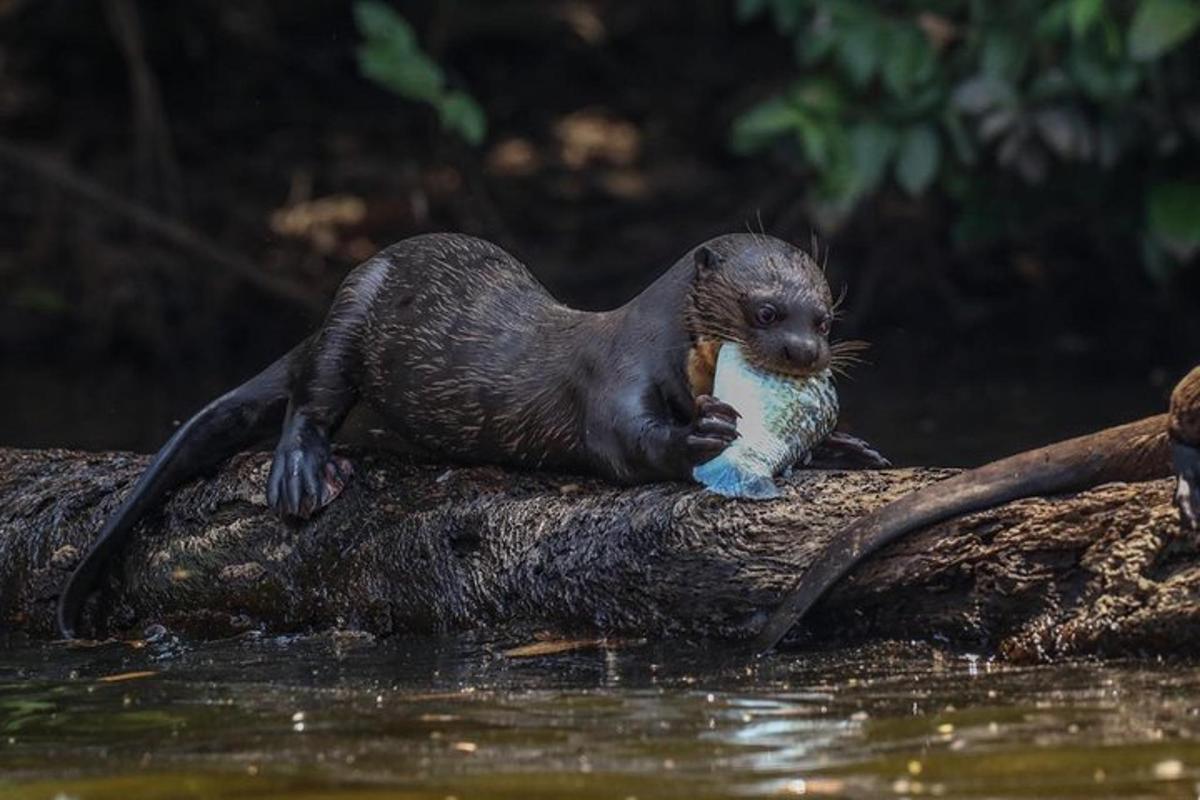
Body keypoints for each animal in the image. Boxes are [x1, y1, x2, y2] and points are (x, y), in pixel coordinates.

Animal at [58, 230, 883, 638]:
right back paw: (304, 473)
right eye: (765, 310)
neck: (672, 346)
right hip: (352, 314)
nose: (804, 352)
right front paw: (704, 434)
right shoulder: (615, 378)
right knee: (309, 398)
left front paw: (841, 447)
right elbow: (625, 443)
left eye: (824, 317)